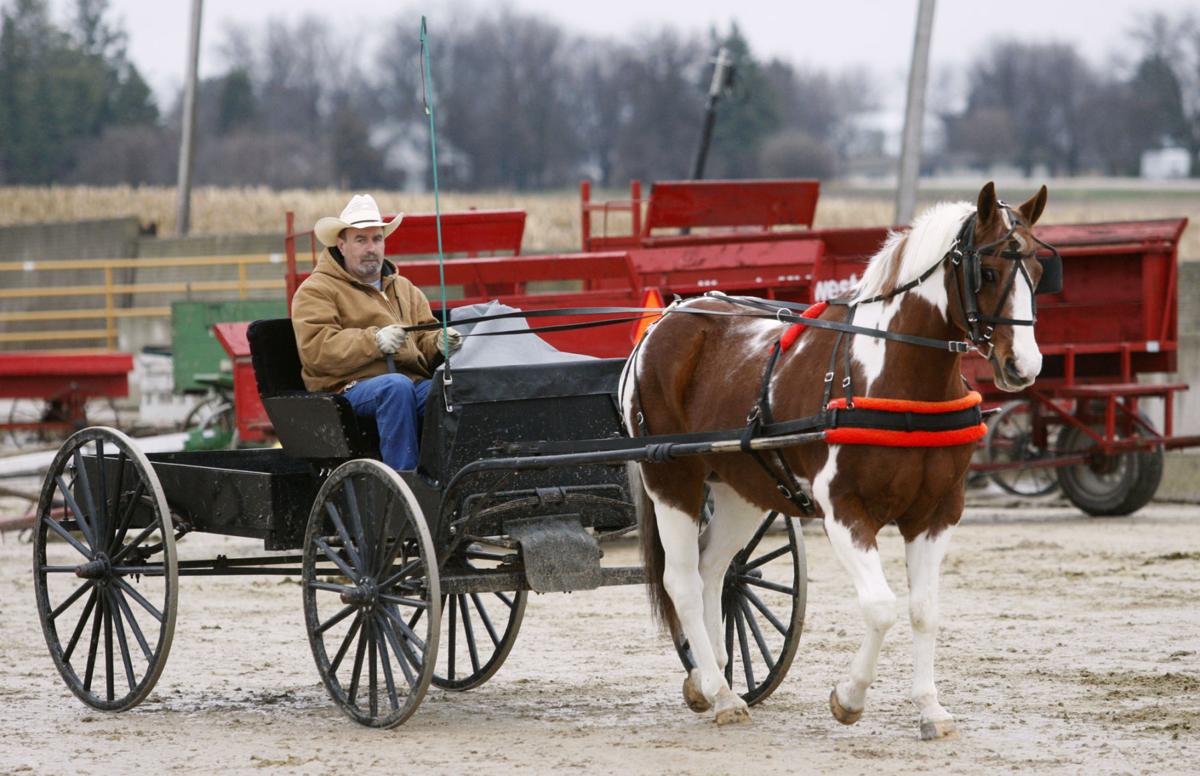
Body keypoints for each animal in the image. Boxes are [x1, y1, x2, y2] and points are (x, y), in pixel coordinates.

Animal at [619, 178, 1051, 738]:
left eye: (1039, 273)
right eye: (991, 271)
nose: (1024, 366)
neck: (897, 382)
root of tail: (666, 320)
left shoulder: (937, 514)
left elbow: (924, 610)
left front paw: (930, 708)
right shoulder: (844, 511)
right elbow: (882, 607)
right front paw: (849, 697)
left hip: (742, 491)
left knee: (715, 569)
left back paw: (711, 679)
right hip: (671, 479)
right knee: (684, 581)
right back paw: (721, 692)